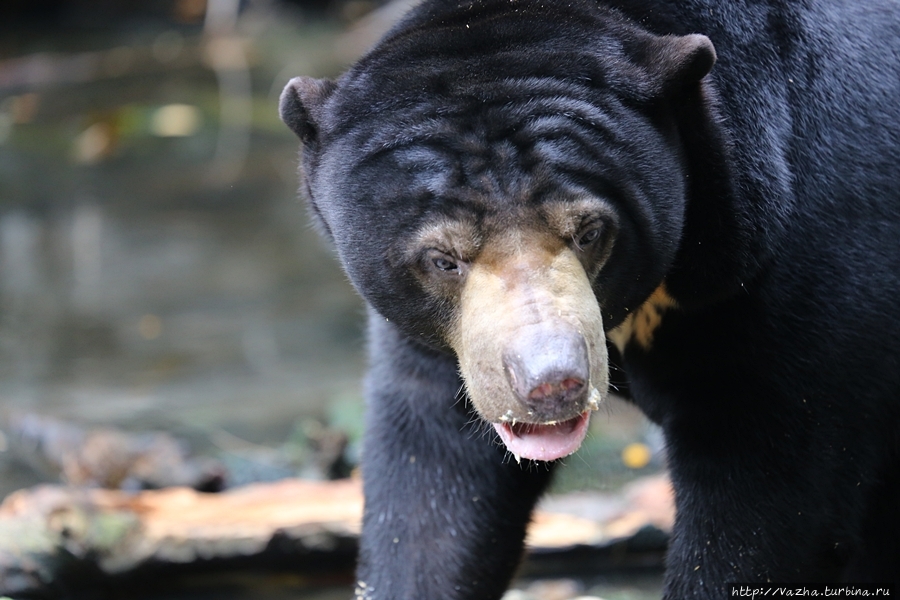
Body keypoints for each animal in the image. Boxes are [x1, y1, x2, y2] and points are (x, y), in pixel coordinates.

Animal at [278, 2, 896, 596]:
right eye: (442, 259)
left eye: (590, 232)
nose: (552, 383)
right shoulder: (445, 348)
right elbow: (432, 483)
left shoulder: (789, 266)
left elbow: (769, 499)